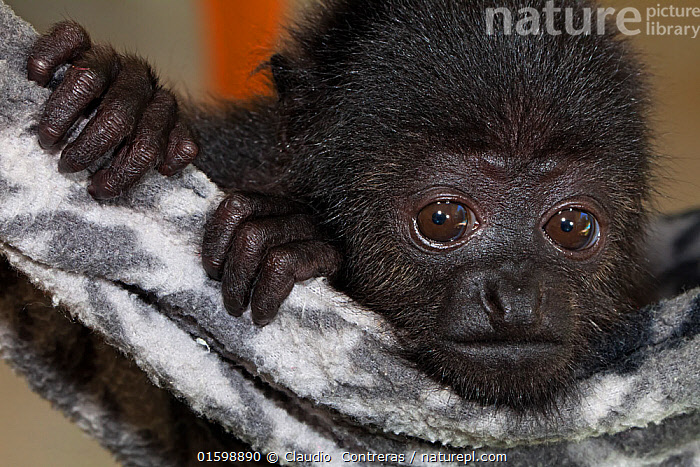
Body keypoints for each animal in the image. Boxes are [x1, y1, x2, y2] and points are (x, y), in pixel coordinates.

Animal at [27, 0, 652, 410]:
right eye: (443, 219)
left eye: (571, 225)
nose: (517, 297)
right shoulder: (233, 150)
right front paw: (129, 105)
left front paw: (292, 240)